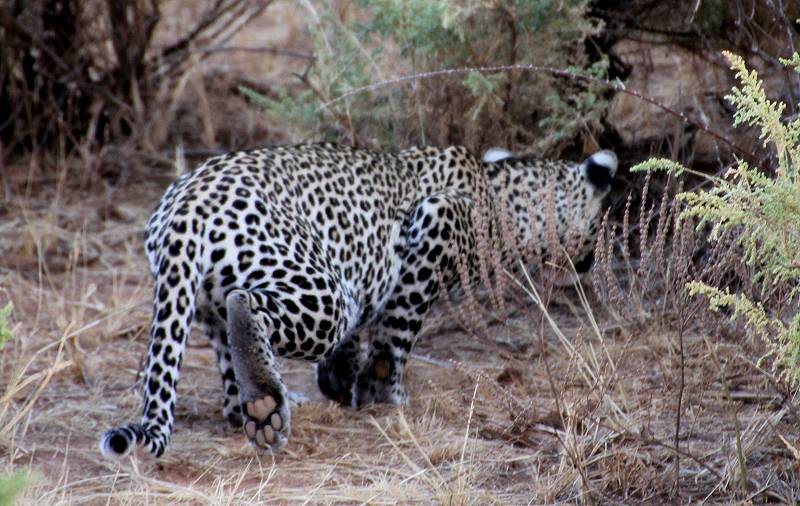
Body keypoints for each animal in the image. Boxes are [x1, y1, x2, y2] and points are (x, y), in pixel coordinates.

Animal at [97, 141, 616, 458]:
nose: (591, 260)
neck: (503, 197)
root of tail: (187, 204)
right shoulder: (437, 223)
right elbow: (398, 329)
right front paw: (384, 390)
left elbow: (355, 340)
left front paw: (340, 378)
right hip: (320, 290)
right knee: (249, 308)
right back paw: (269, 400)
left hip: (207, 301)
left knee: (229, 378)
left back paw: (264, 404)